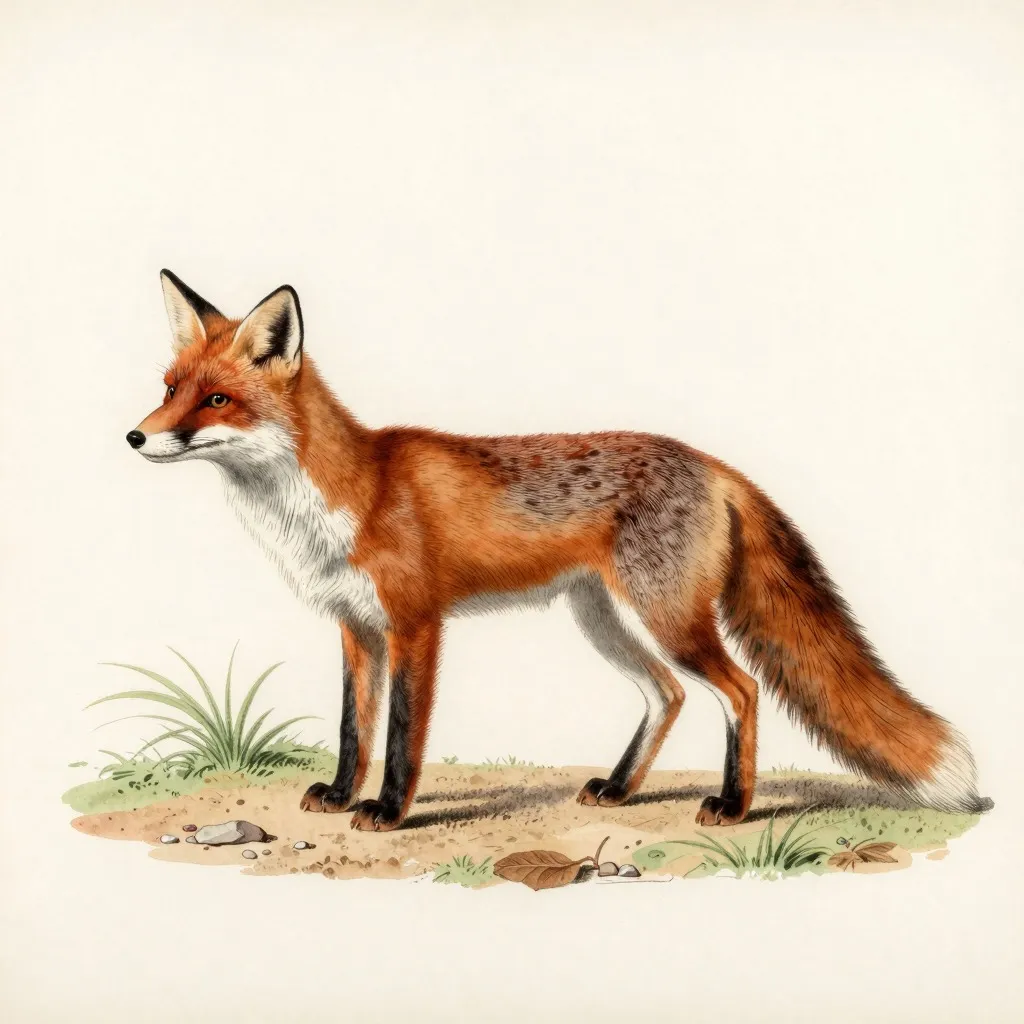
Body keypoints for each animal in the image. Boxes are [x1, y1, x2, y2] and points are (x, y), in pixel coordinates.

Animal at [127, 270, 989, 832]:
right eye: (169, 387)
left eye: (216, 400)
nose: (135, 436)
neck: (344, 494)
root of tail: (714, 464)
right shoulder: (355, 627)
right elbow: (353, 729)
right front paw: (342, 796)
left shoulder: (415, 625)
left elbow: (401, 735)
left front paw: (387, 811)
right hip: (601, 618)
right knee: (667, 696)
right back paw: (620, 789)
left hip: (669, 618)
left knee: (740, 691)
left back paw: (734, 805)